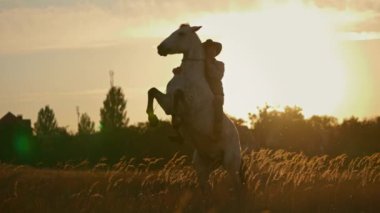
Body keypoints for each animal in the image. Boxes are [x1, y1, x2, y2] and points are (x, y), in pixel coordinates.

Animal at [147, 24, 242, 191]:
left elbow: (178, 95)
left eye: (181, 33)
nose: (160, 48)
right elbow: (152, 91)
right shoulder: (167, 102)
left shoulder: (185, 107)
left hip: (230, 165)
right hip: (202, 166)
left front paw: (173, 124)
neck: (188, 76)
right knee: (206, 188)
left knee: (238, 188)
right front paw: (153, 120)